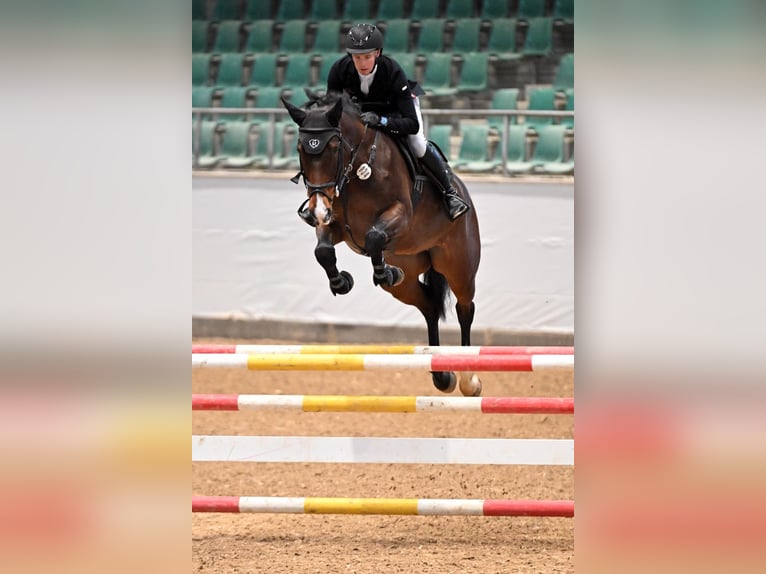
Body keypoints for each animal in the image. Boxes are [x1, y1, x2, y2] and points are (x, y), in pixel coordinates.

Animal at [282, 92, 482, 396]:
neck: (355, 171)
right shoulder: (334, 223)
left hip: (459, 265)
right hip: (407, 278)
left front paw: (382, 271)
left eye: (333, 147)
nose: (316, 209)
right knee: (429, 305)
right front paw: (342, 281)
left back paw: (469, 379)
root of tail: (463, 190)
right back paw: (441, 375)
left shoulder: (399, 214)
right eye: (300, 148)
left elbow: (375, 237)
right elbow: (323, 251)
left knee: (464, 308)